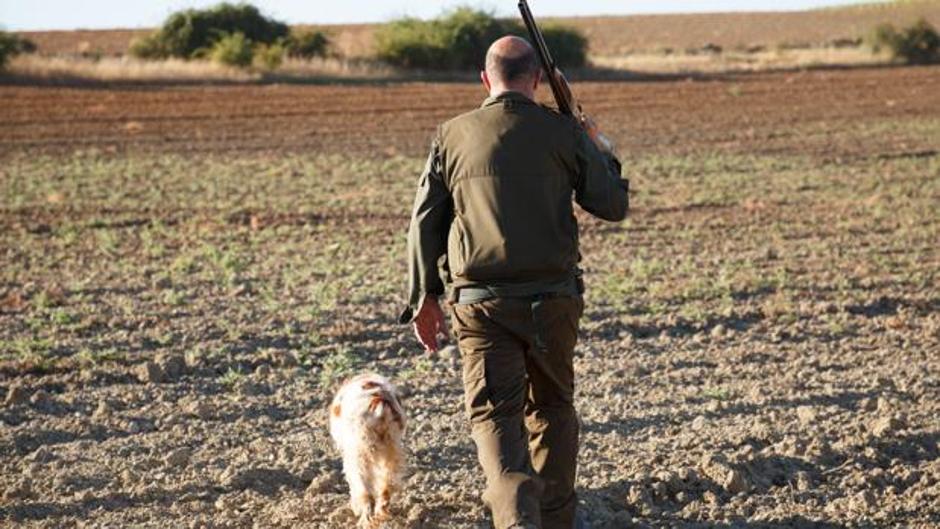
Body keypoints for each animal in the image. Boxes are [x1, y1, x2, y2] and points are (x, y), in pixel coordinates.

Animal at [328, 374, 406, 524]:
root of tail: (379, 401)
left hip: (359, 456)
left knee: (366, 494)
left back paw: (365, 520)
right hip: (392, 452)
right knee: (386, 488)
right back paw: (381, 514)